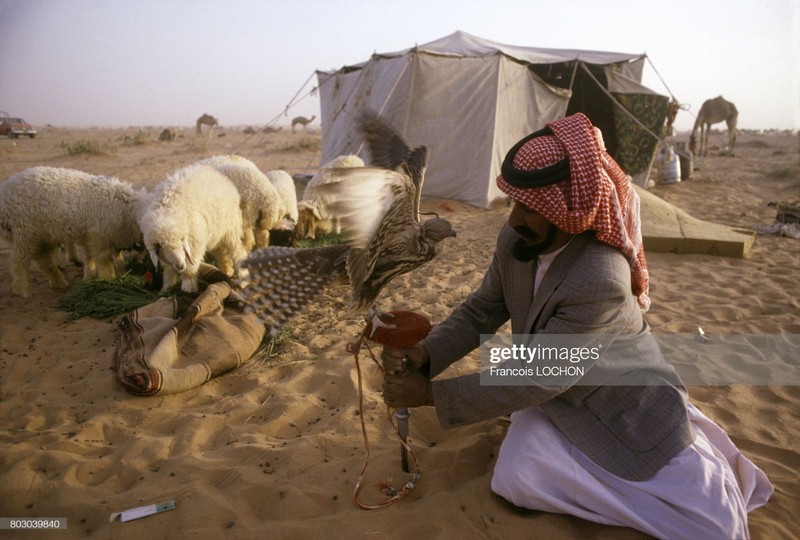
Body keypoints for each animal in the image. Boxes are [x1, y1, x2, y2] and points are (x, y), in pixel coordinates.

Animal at [0, 167, 148, 298]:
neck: (126, 210)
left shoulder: (94, 237)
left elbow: (93, 258)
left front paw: (91, 277)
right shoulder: (99, 238)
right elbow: (104, 263)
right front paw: (109, 282)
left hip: (42, 236)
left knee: (43, 261)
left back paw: (58, 282)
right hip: (24, 234)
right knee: (19, 263)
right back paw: (24, 291)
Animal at [139, 163, 248, 294]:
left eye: (181, 240)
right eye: (159, 246)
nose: (180, 265)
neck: (167, 212)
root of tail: (219, 176)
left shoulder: (195, 244)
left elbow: (190, 269)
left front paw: (188, 288)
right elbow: (168, 270)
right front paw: (166, 289)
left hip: (231, 227)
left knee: (238, 250)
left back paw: (243, 279)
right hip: (215, 233)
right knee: (221, 251)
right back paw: (226, 270)